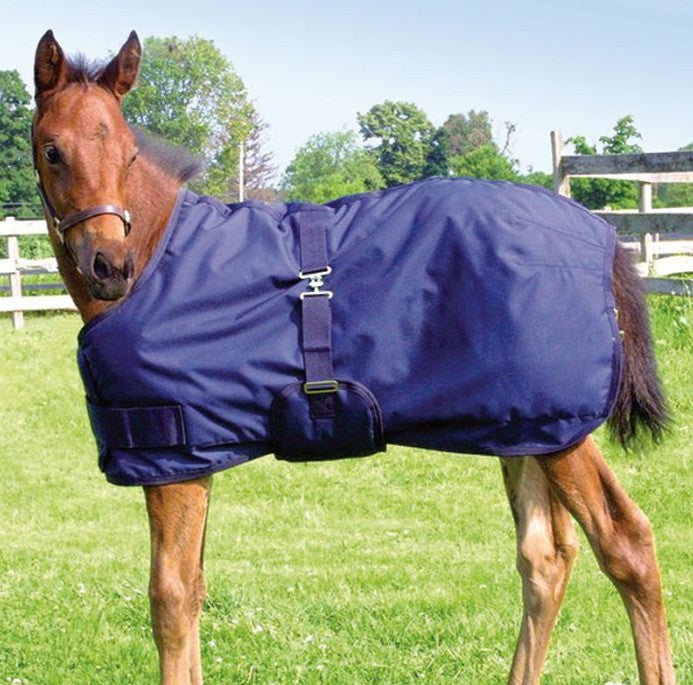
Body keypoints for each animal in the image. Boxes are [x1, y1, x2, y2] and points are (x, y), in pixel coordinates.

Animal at [31, 30, 675, 685]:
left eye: (130, 155)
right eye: (53, 150)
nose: (110, 265)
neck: (163, 254)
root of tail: (603, 237)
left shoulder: (173, 458)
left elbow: (170, 599)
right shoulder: (195, 456)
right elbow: (192, 592)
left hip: (561, 431)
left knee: (626, 543)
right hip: (525, 427)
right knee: (545, 557)